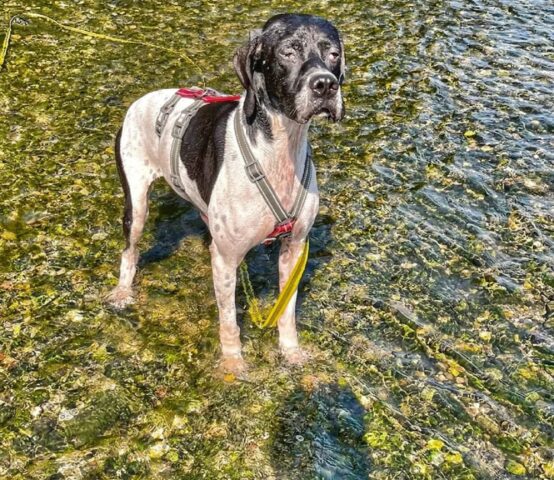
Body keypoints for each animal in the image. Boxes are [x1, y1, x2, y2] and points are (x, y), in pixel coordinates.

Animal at [105, 10, 342, 372]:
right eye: (288, 52)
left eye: (333, 54)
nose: (326, 84)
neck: (278, 151)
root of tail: (143, 100)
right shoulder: (227, 259)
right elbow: (229, 319)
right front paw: (233, 364)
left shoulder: (294, 248)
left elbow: (286, 310)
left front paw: (291, 352)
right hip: (136, 203)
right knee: (129, 251)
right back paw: (122, 292)